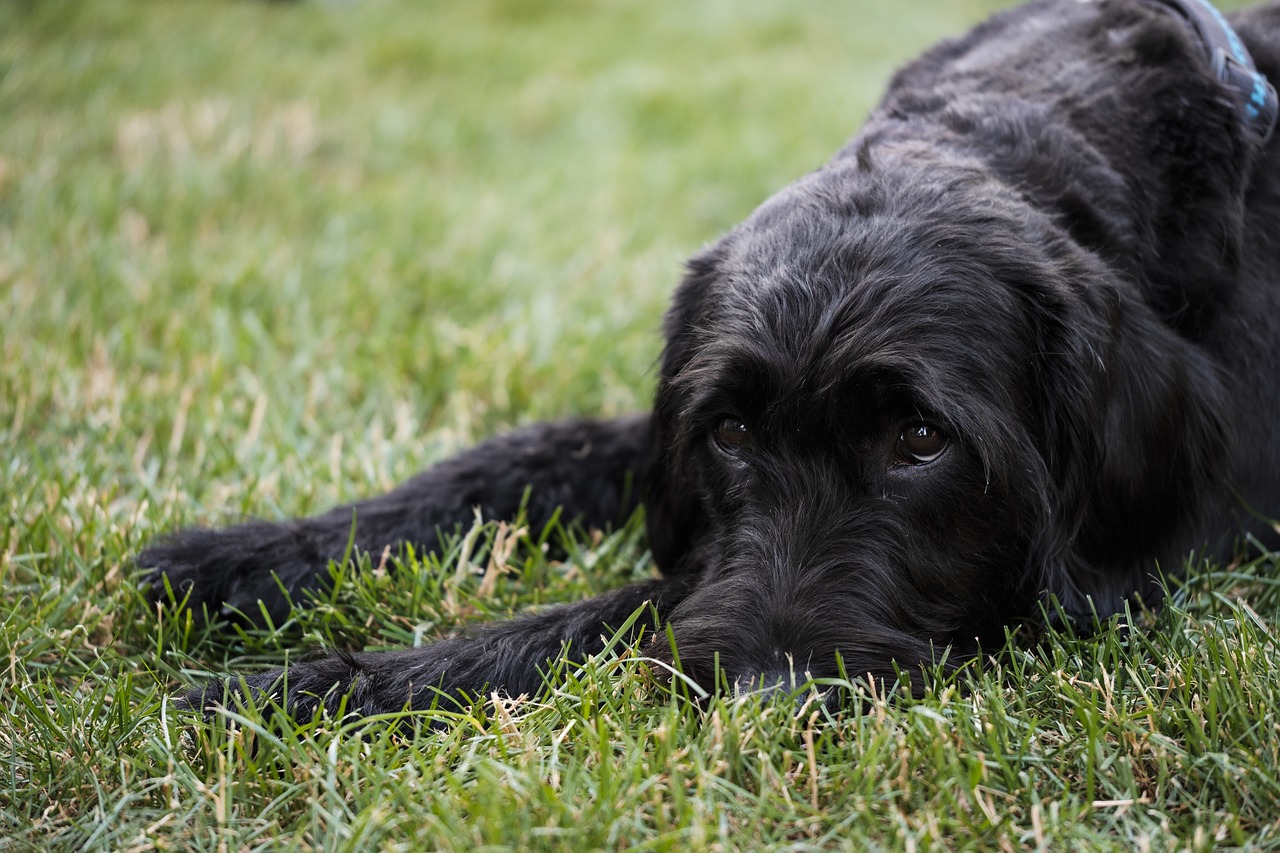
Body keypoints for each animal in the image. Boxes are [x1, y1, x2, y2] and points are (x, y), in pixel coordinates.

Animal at [137, 0, 1280, 712]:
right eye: (729, 431)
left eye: (920, 438)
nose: (766, 694)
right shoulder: (677, 420)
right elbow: (522, 457)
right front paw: (248, 556)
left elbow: (621, 609)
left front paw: (314, 686)